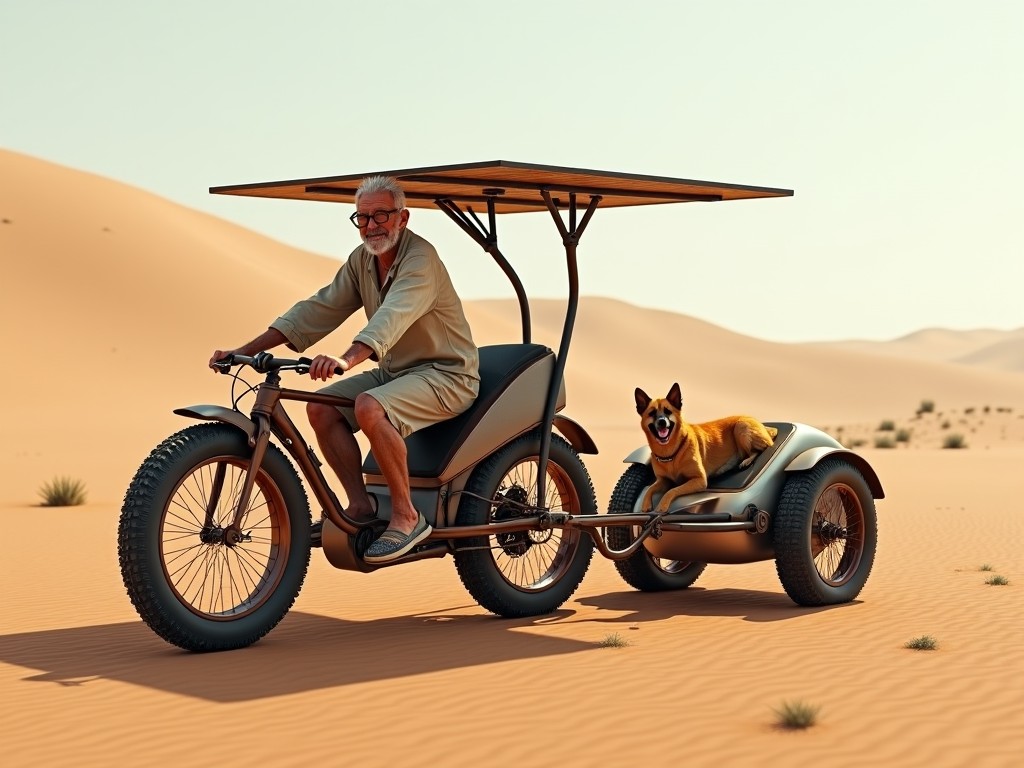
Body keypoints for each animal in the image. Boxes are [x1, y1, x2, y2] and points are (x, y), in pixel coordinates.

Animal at [630, 385, 774, 518]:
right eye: (652, 413)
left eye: (668, 411)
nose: (661, 422)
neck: (670, 453)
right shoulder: (663, 481)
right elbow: (650, 489)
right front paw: (645, 505)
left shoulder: (698, 480)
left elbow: (672, 490)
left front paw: (662, 505)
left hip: (741, 427)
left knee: (761, 448)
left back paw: (747, 460)